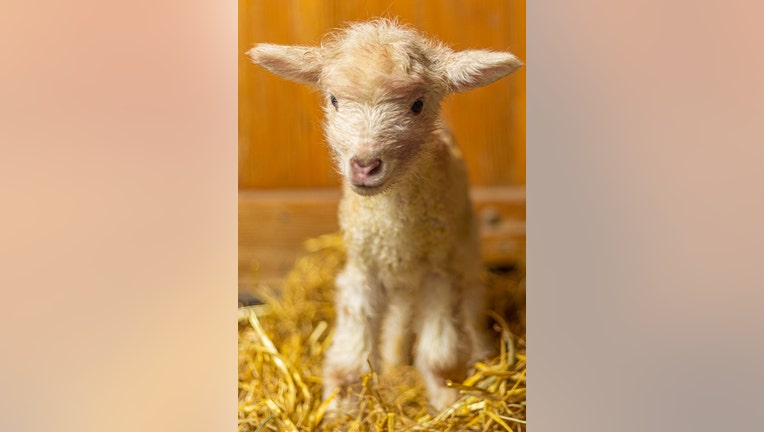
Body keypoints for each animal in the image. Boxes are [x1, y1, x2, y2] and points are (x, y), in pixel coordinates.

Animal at [248, 19, 524, 412]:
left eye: (417, 104)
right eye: (333, 100)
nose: (365, 166)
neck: (392, 224)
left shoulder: (438, 272)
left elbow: (440, 355)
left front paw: (447, 400)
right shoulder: (364, 268)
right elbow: (350, 356)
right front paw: (340, 409)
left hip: (465, 247)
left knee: (470, 301)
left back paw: (480, 354)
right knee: (398, 317)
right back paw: (394, 365)